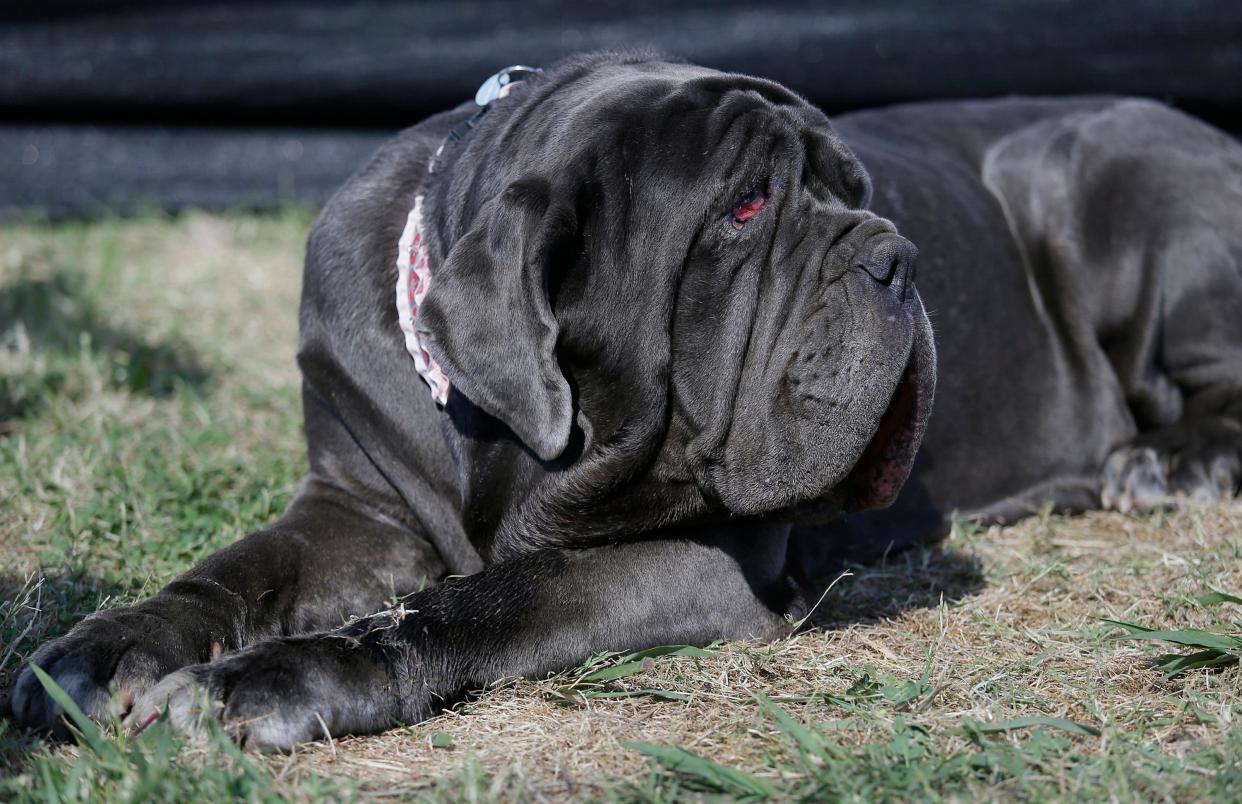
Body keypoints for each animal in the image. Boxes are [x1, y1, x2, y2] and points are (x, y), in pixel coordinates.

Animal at [9, 53, 1242, 750]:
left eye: (858, 190)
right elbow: (236, 572)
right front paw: (102, 650)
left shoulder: (696, 559)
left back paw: (1169, 461)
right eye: (745, 210)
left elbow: (481, 601)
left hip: (1123, 186)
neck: (503, 429)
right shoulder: (355, 510)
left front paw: (258, 682)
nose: (895, 255)